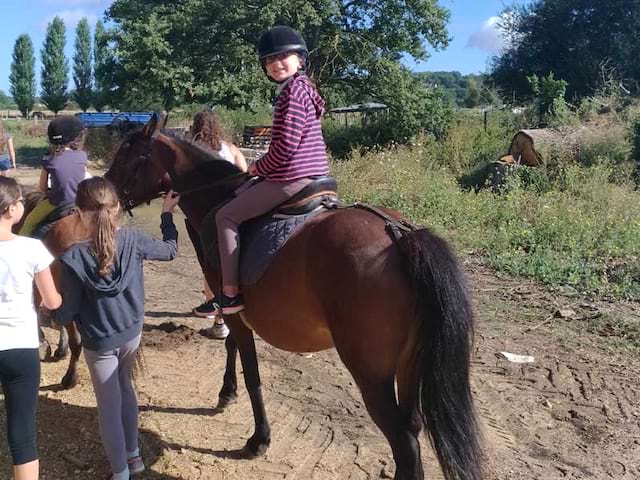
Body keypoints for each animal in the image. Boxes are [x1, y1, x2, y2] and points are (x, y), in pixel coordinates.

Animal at [105, 116, 482, 480]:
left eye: (125, 156)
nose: (104, 192)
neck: (217, 196)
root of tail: (399, 234)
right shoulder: (235, 311)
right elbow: (232, 347)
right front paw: (227, 393)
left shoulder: (234, 311)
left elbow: (252, 372)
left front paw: (258, 439)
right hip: (408, 367)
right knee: (413, 426)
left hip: (371, 374)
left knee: (404, 444)